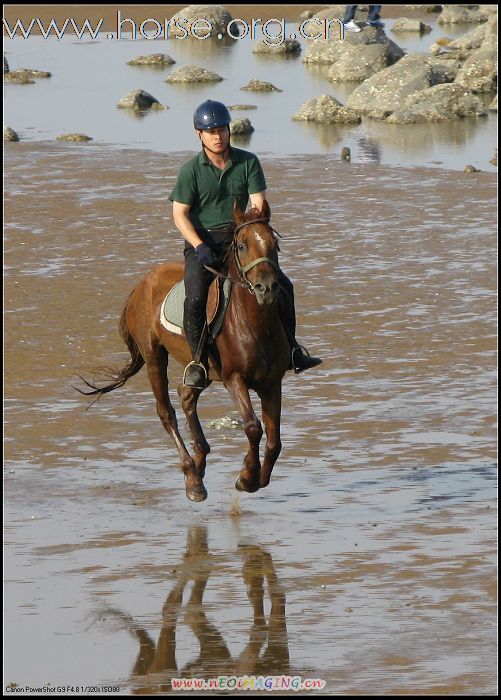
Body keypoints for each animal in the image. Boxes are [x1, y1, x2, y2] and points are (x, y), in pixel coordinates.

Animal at [77, 200, 290, 500]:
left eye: (274, 244)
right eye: (241, 246)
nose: (267, 287)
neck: (254, 324)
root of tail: (142, 283)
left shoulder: (272, 382)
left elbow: (274, 442)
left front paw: (257, 477)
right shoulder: (233, 378)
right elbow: (252, 427)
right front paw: (246, 477)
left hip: (199, 365)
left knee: (186, 395)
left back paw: (200, 462)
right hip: (154, 357)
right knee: (166, 411)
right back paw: (192, 477)